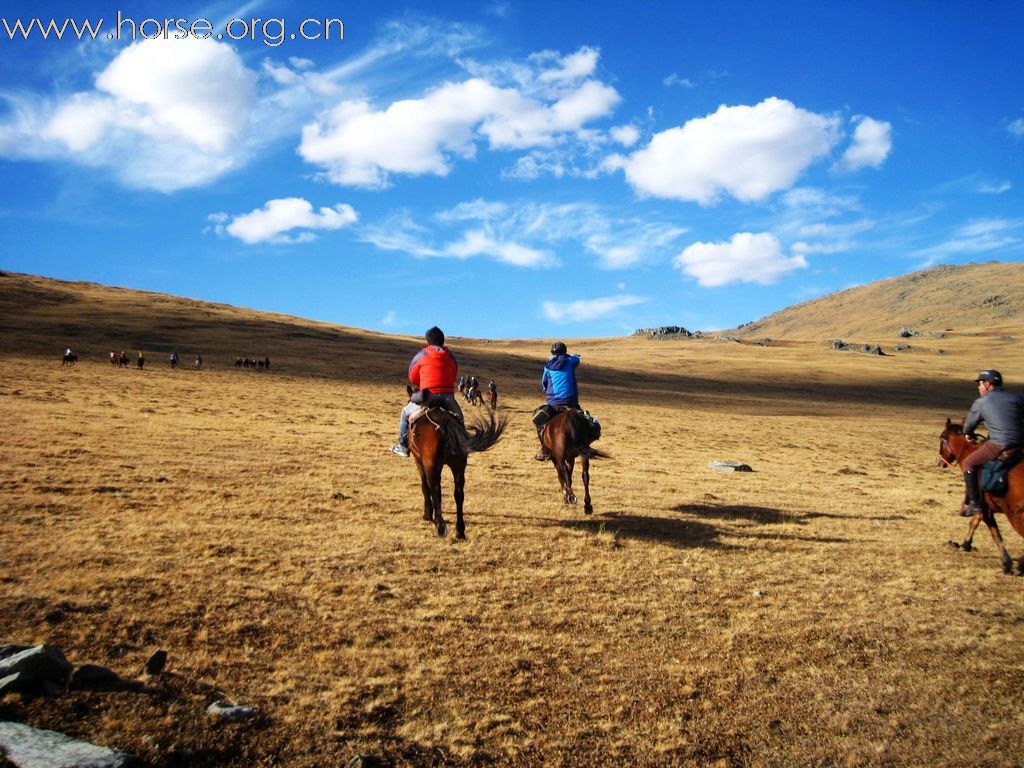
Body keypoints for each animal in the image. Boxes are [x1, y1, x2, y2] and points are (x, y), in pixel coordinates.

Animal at [405, 391, 505, 540]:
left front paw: (428, 514)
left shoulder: (419, 462)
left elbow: (425, 486)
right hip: (459, 465)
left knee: (436, 489)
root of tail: (445, 422)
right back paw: (460, 530)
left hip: (432, 464)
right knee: (459, 494)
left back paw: (440, 526)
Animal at [937, 421, 1024, 577]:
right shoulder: (984, 507)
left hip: (1017, 516)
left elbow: (995, 535)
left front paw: (1006, 563)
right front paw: (966, 544)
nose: (940, 462)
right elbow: (976, 521)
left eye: (941, 439)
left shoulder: (983, 507)